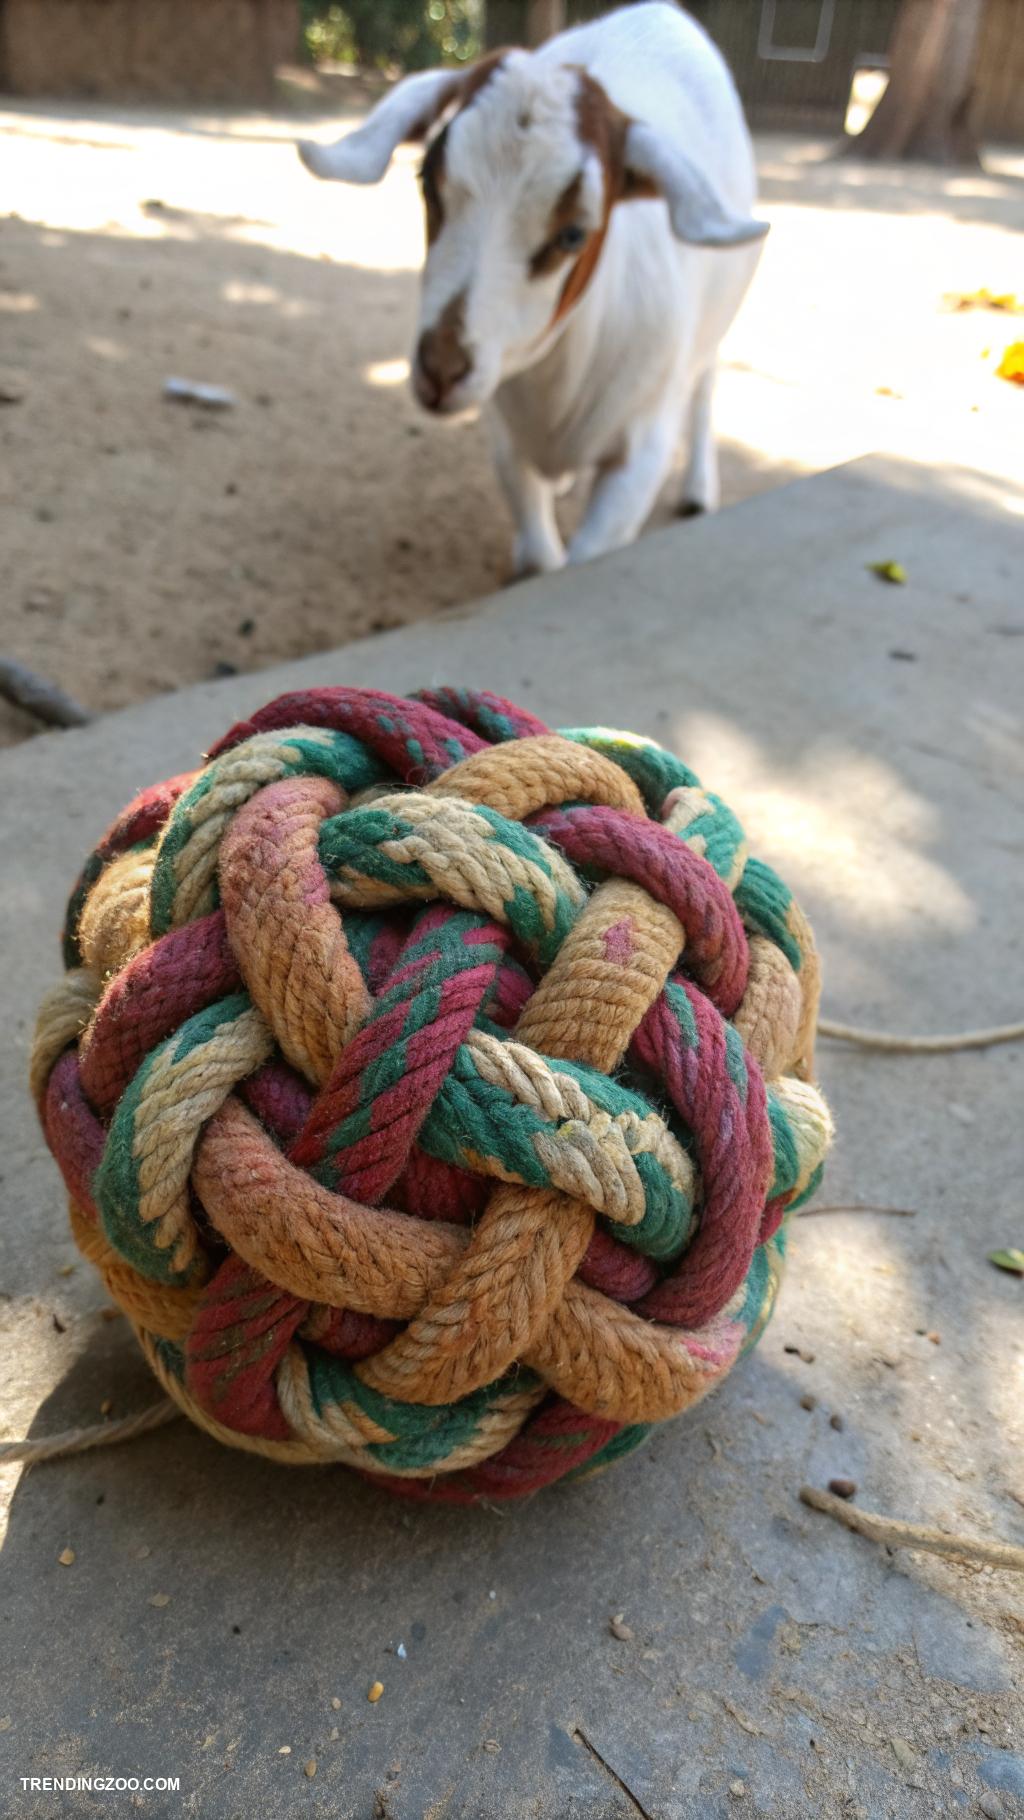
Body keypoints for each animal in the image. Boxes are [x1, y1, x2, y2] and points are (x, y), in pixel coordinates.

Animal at [299, 2, 766, 576]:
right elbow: (539, 555)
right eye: (427, 182)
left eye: (573, 233)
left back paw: (699, 490)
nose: (441, 372)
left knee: (705, 382)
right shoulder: (504, 433)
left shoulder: (639, 452)